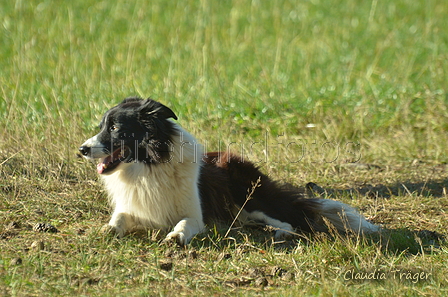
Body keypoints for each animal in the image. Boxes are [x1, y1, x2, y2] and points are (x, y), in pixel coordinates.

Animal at [79, 96, 380, 244]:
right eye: (102, 126)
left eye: (115, 128)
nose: (81, 149)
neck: (148, 167)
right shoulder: (135, 207)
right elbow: (119, 218)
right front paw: (108, 230)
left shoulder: (195, 215)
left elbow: (184, 223)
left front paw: (176, 236)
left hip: (249, 199)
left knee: (289, 219)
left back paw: (282, 233)